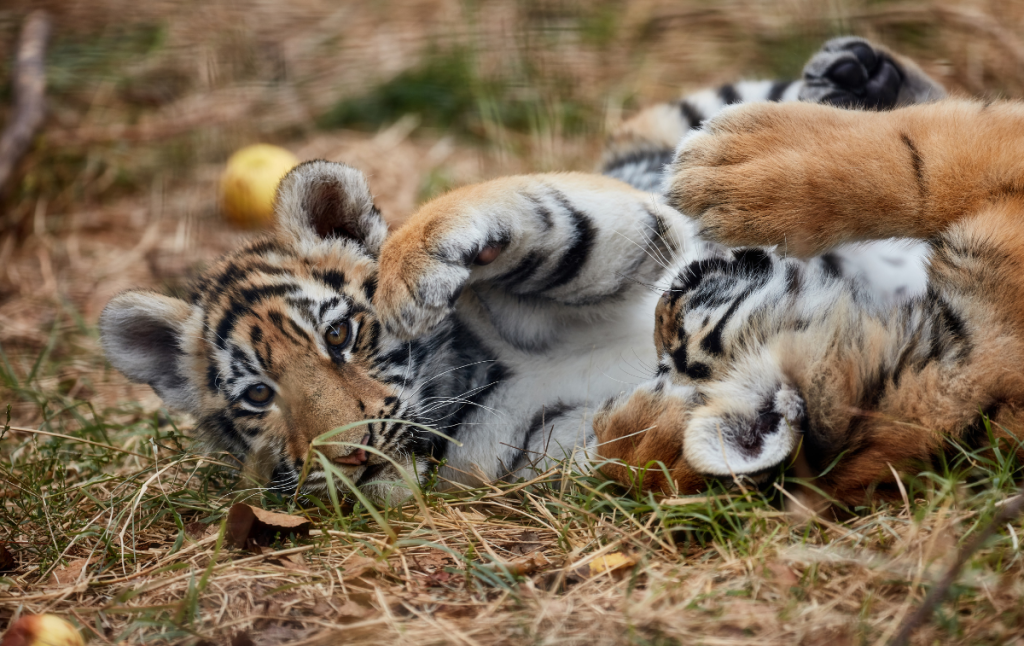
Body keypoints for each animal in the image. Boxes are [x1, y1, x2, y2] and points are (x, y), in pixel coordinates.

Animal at [99, 37, 946, 503]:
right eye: (257, 396)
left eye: (341, 335)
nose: (346, 454)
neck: (469, 379)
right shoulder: (539, 447)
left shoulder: (637, 232)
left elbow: (539, 216)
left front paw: (416, 269)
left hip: (699, 123)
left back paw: (854, 72)